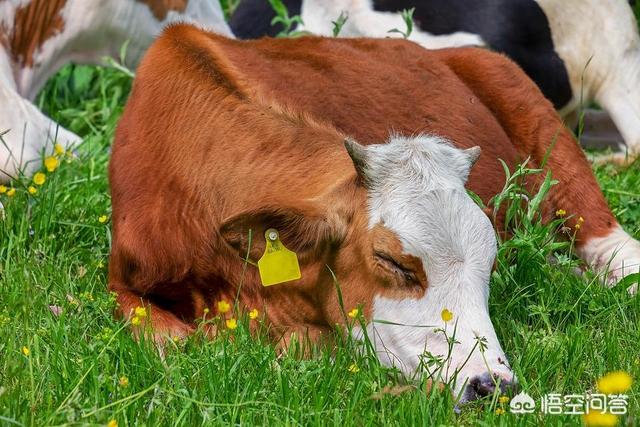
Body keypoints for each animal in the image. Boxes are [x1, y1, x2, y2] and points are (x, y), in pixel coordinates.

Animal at [109, 24, 640, 404]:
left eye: (489, 265)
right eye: (393, 263)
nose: (491, 385)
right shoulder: (121, 280)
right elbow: (170, 342)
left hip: (550, 134)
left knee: (616, 250)